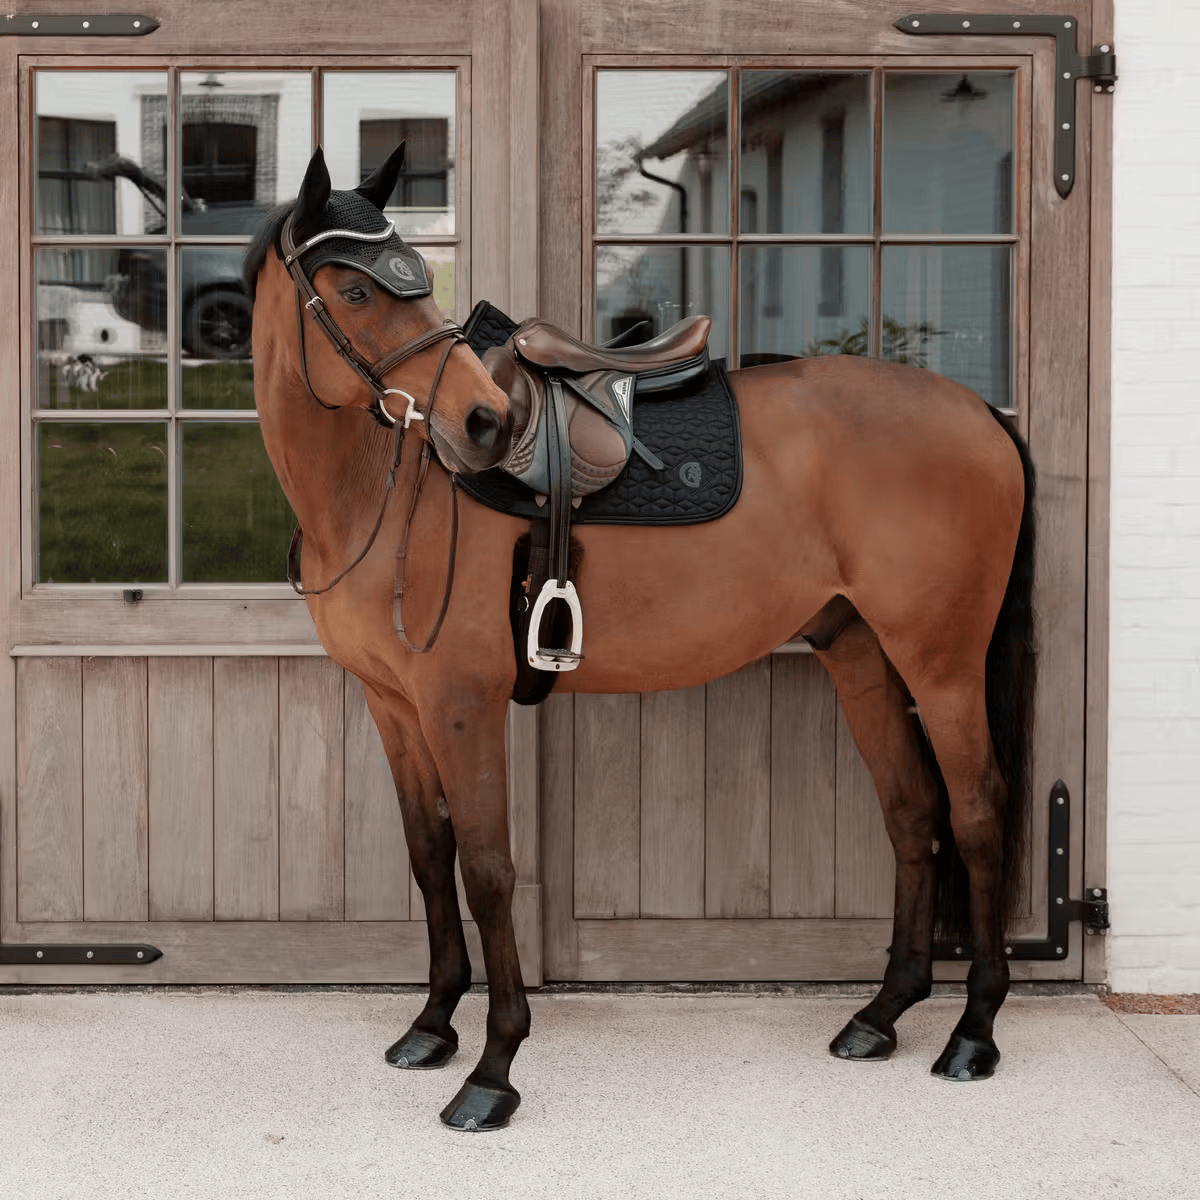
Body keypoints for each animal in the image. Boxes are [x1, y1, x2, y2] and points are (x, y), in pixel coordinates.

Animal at [247, 143, 1035, 1132]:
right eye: (355, 291)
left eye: (418, 280)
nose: (483, 423)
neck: (379, 491)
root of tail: (982, 414)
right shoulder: (393, 704)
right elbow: (431, 857)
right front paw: (431, 1027)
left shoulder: (461, 702)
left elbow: (489, 868)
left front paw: (494, 1069)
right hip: (862, 654)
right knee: (912, 812)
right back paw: (883, 1014)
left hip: (943, 662)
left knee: (977, 815)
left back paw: (975, 1032)